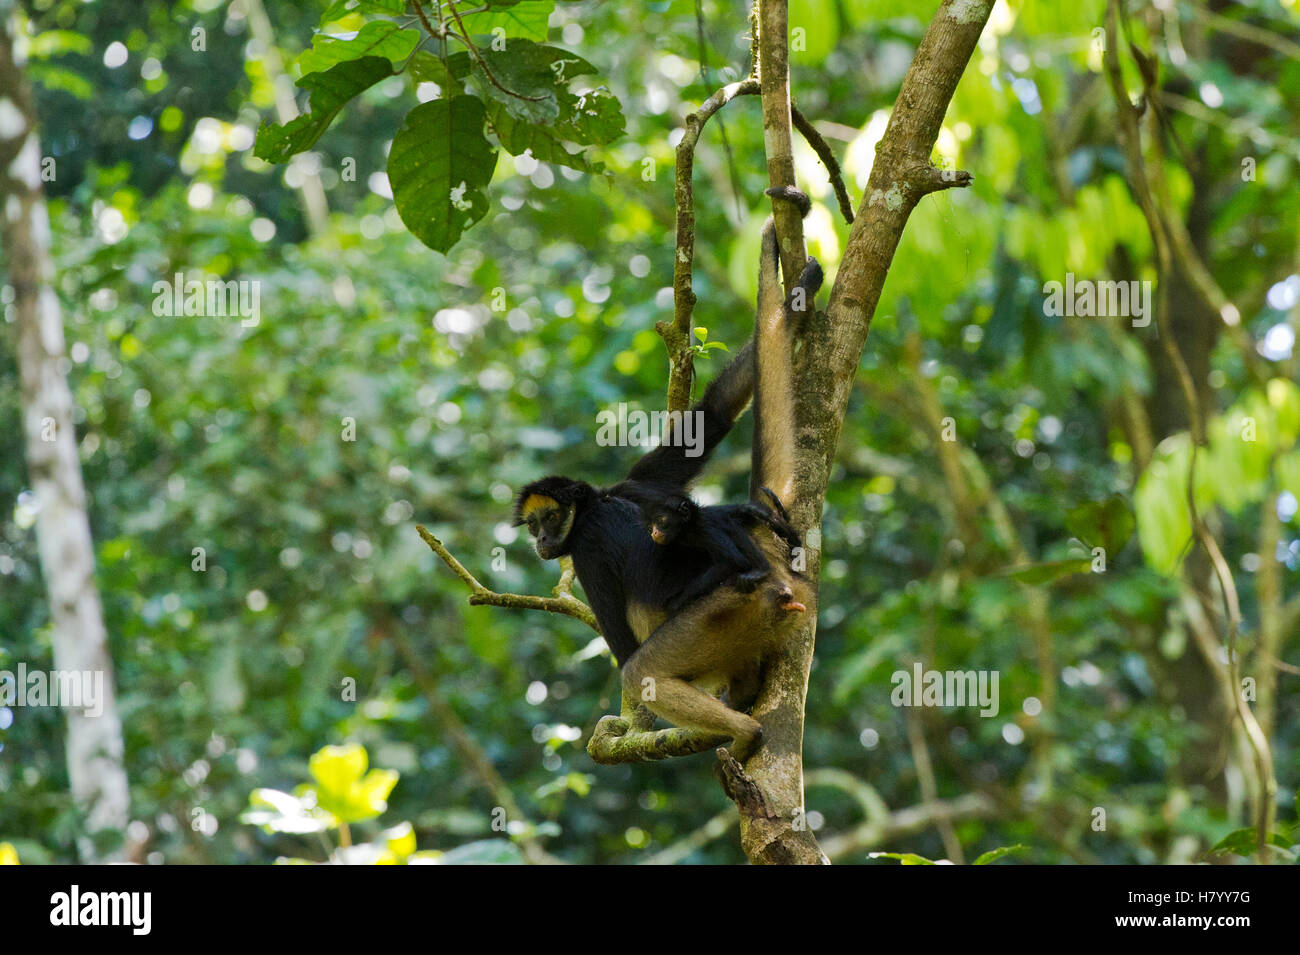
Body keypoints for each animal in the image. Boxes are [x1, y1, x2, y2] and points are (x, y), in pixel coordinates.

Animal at [611, 480, 800, 615]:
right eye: (651, 525)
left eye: (661, 521)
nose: (655, 532)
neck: (689, 529)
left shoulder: (706, 529)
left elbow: (733, 561)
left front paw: (678, 601)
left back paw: (761, 569)